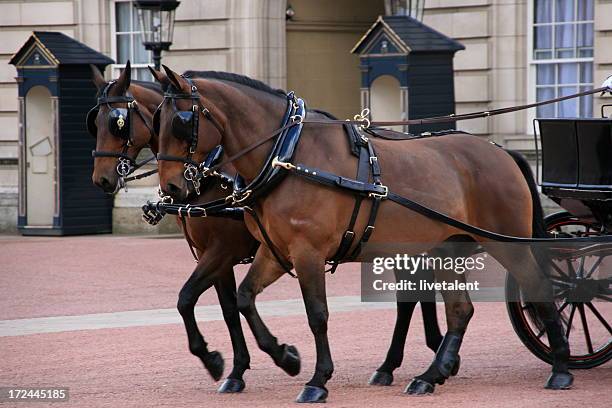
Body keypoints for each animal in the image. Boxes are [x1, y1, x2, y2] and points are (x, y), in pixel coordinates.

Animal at [155, 65, 576, 404]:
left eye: (181, 122)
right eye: (156, 121)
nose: (172, 188)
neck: (286, 156)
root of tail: (500, 151)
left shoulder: (306, 253)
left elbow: (317, 314)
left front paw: (317, 379)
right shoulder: (274, 252)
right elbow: (243, 299)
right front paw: (285, 356)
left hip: (507, 243)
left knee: (539, 288)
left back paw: (560, 367)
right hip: (446, 249)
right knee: (460, 311)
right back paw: (430, 375)